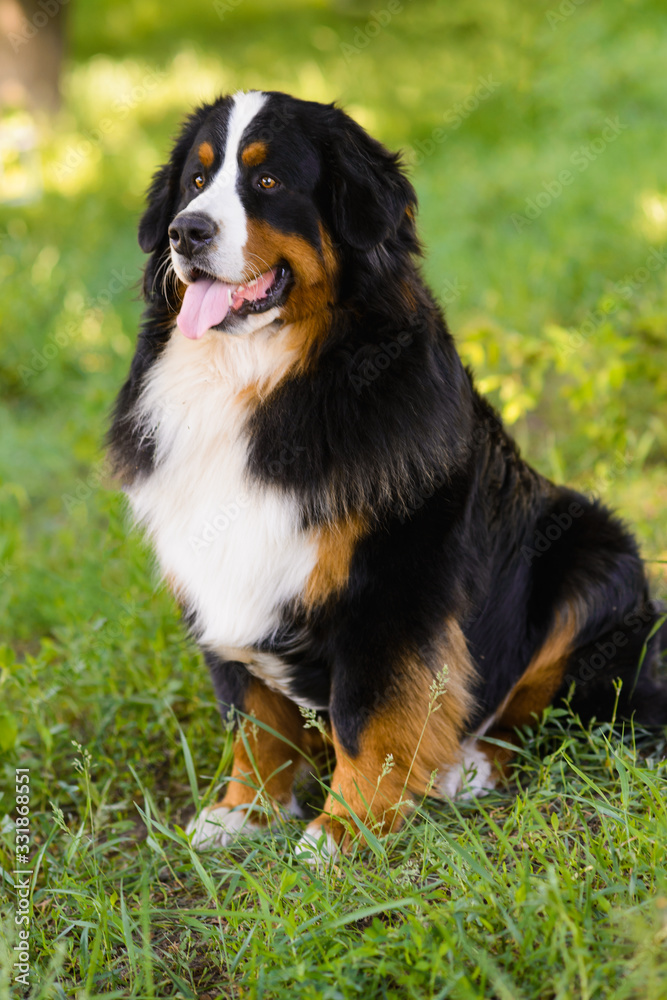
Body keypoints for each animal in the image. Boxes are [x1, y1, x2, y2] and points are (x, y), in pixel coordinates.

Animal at [109, 90, 667, 864]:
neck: (259, 379)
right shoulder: (216, 570)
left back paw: (470, 765)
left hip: (594, 551)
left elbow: (365, 713)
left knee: (543, 704)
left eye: (268, 181)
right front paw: (246, 809)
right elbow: (254, 713)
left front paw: (346, 828)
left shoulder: (393, 584)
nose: (184, 232)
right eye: (195, 180)